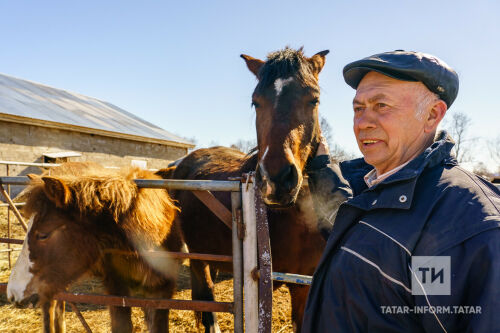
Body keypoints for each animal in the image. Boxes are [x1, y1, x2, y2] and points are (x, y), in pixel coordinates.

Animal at [164, 47, 334, 332]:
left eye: (314, 100)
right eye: (256, 102)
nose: (277, 179)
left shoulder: (303, 287)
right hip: (198, 258)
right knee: (208, 304)